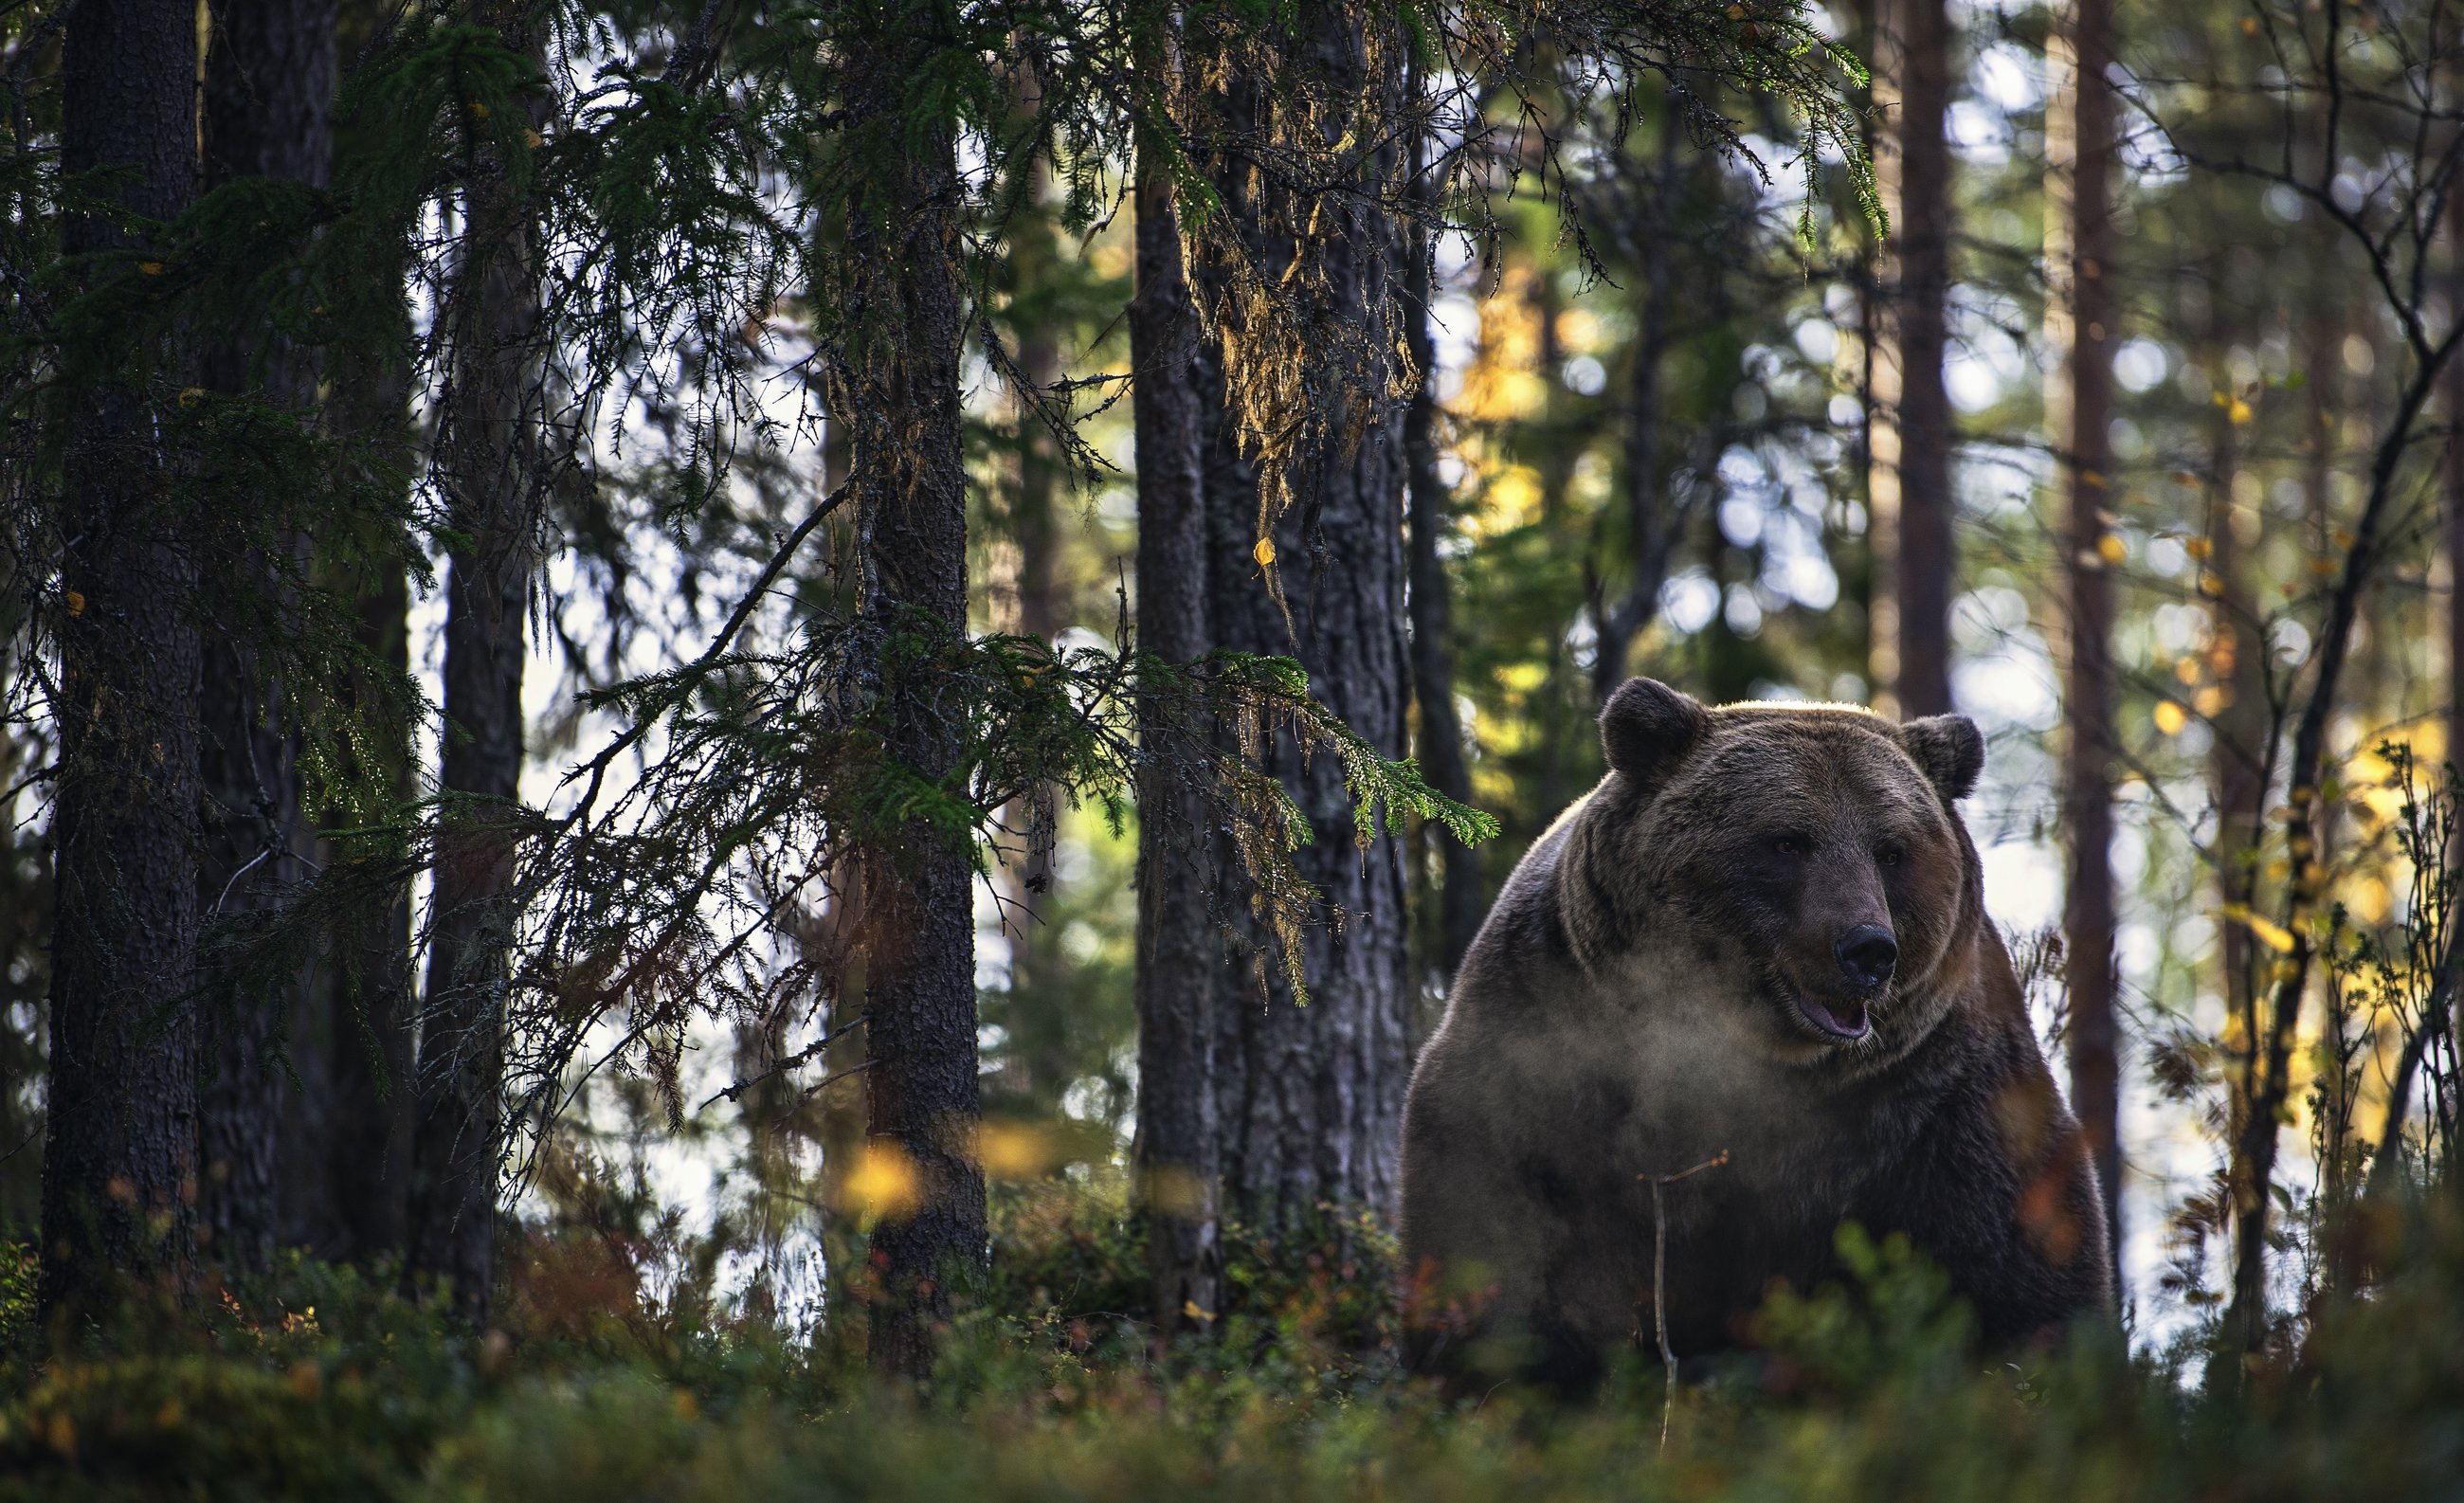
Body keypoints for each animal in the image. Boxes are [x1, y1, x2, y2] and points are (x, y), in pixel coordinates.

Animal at [1399, 675, 2109, 1380]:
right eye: (1789, 840)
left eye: (1891, 850)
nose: (1867, 949)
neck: (1758, 1064)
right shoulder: (1547, 1049)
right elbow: (1493, 1225)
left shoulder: (1934, 1095)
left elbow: (2013, 1261)